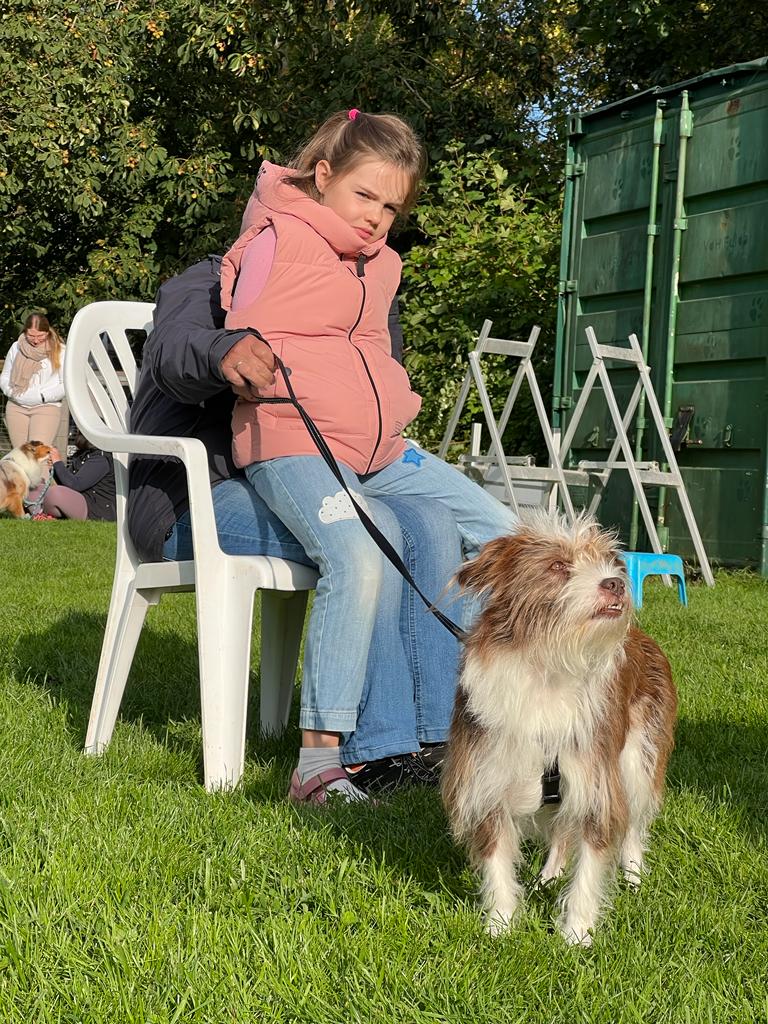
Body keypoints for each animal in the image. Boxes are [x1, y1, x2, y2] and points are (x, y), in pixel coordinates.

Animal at [441, 511, 677, 946]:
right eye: (557, 566)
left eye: (610, 562)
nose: (616, 582)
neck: (549, 665)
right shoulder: (487, 778)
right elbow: (497, 863)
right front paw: (500, 924)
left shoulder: (595, 778)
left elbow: (590, 863)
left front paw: (576, 934)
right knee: (561, 831)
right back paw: (548, 876)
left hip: (639, 758)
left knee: (634, 824)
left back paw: (634, 875)